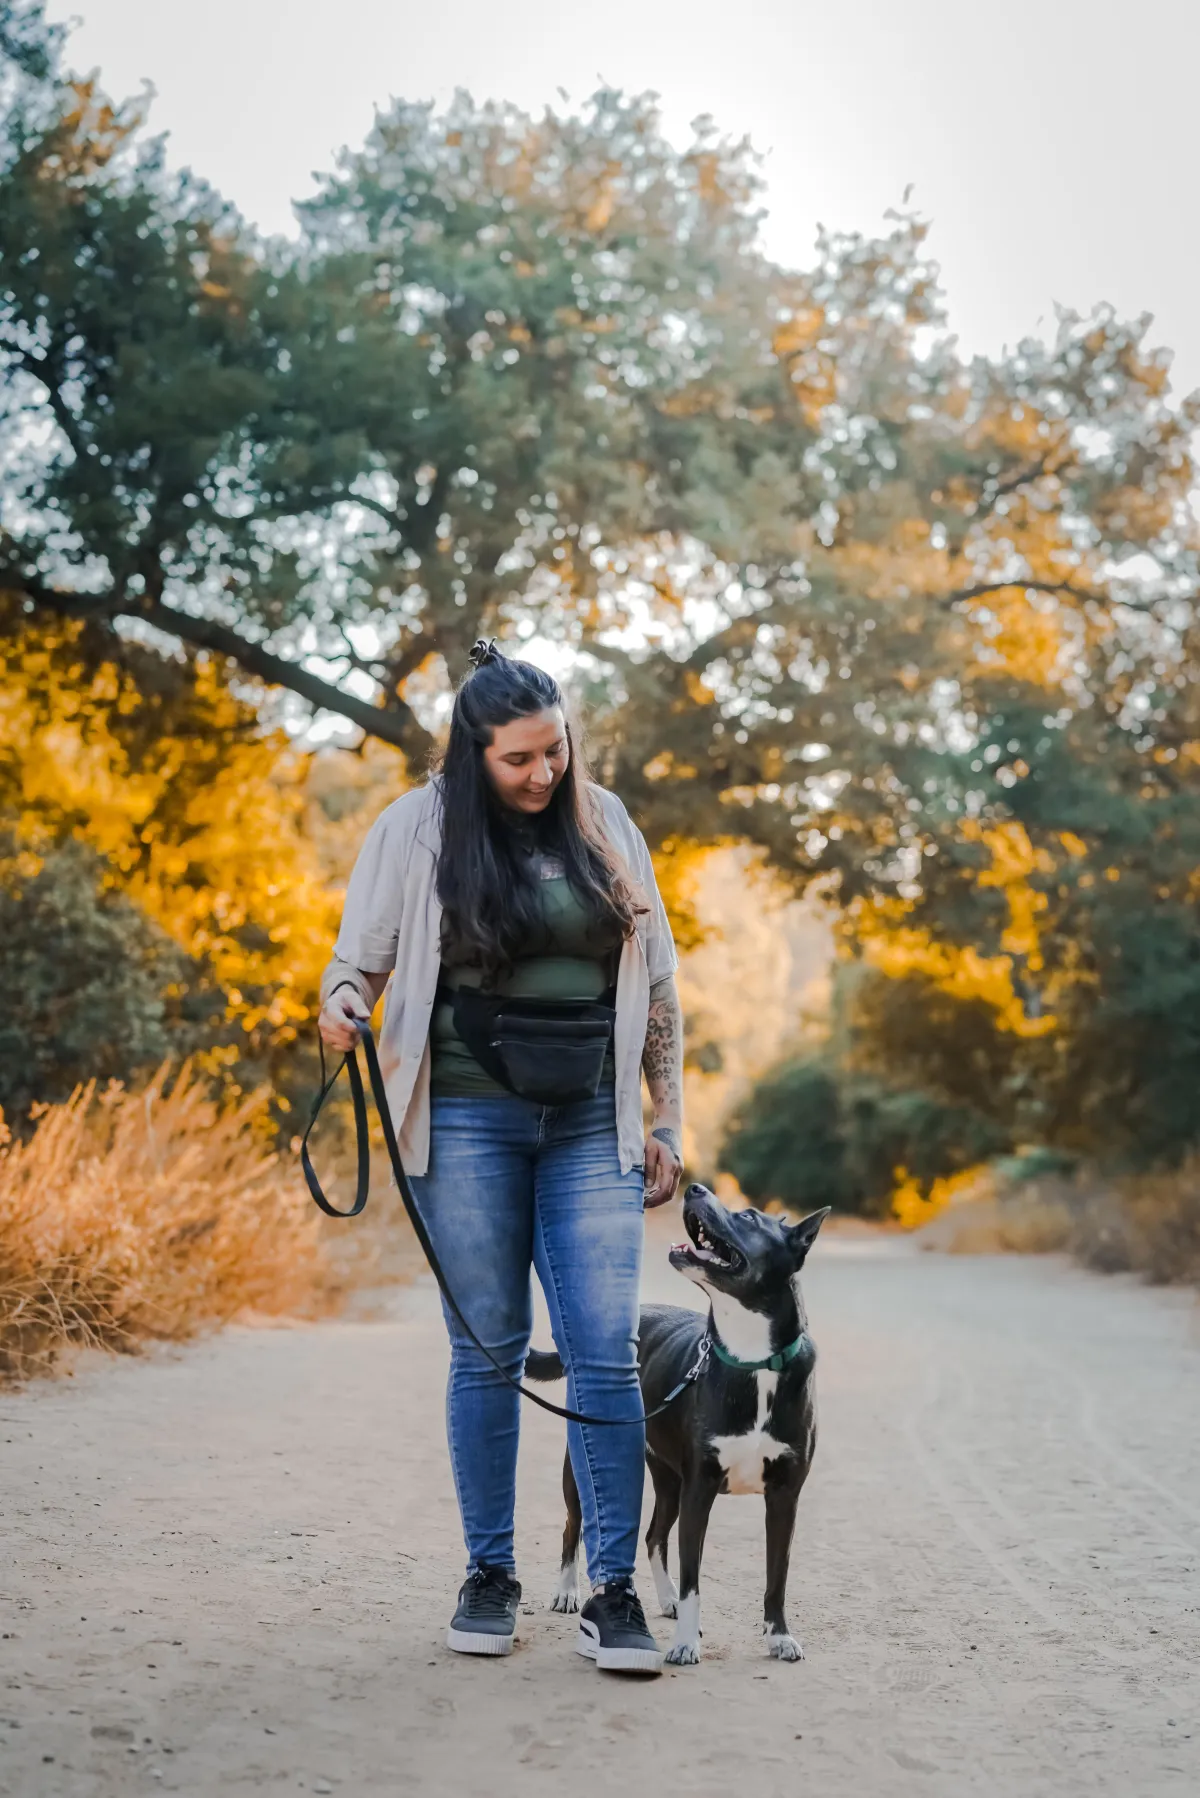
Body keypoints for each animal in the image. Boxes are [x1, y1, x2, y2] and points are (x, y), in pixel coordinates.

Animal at [526, 1182, 828, 1664]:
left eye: (748, 1216)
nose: (696, 1187)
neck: (752, 1357)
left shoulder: (783, 1496)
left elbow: (776, 1577)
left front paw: (779, 1636)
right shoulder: (700, 1490)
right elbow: (693, 1584)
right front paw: (686, 1642)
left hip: (669, 1480)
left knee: (653, 1536)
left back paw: (663, 1597)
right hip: (583, 1463)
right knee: (574, 1525)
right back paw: (568, 1590)